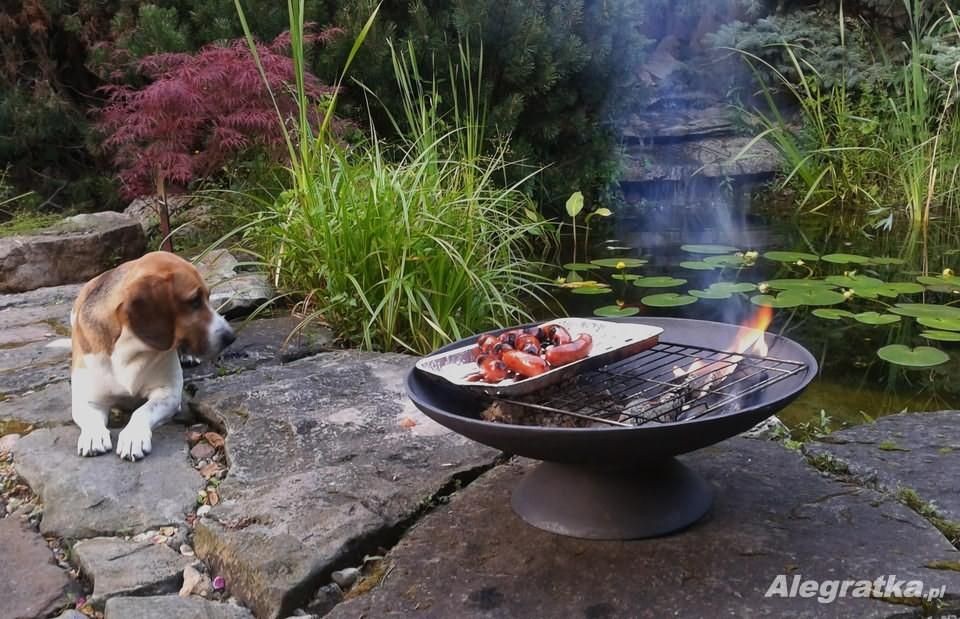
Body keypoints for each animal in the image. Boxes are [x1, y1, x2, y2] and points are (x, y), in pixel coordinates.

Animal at [70, 251, 235, 460]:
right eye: (194, 301)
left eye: (207, 297)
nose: (231, 337)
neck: (129, 348)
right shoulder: (87, 400)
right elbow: (91, 418)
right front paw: (93, 435)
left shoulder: (167, 394)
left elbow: (142, 411)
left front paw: (133, 436)